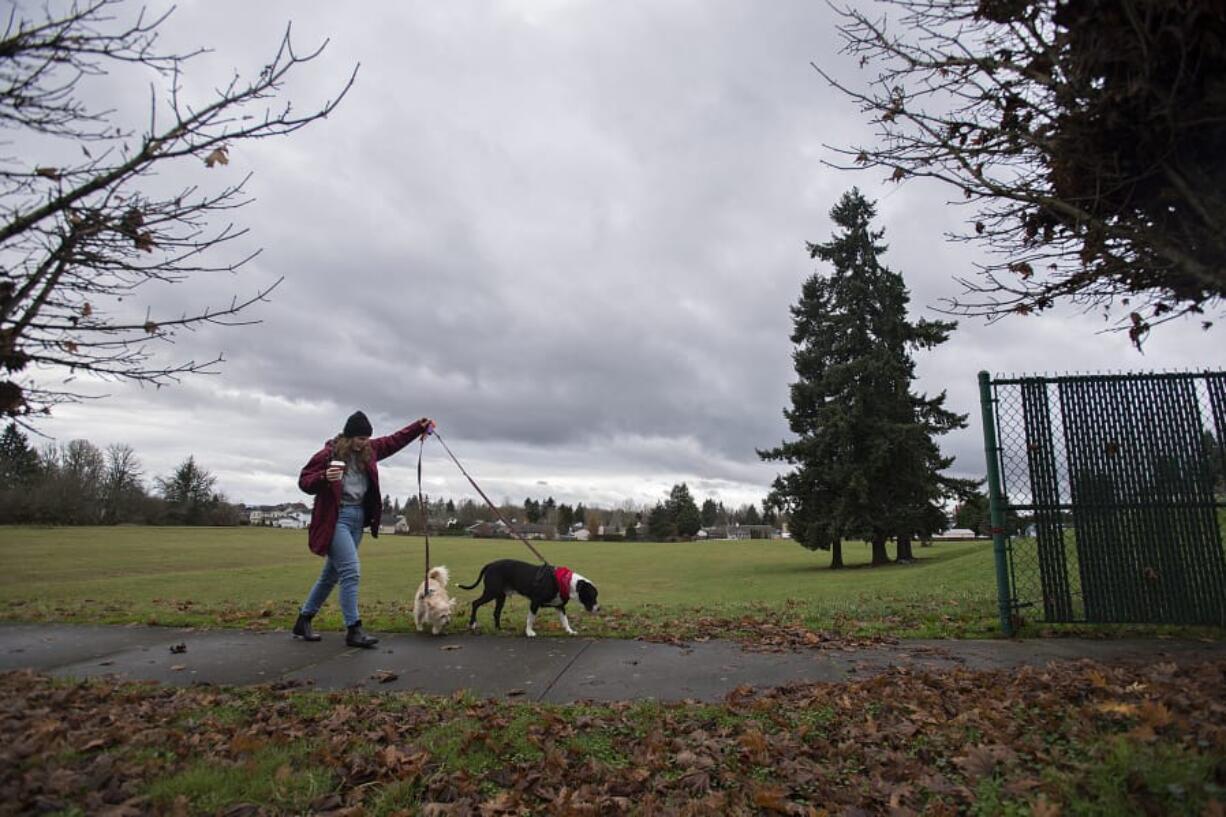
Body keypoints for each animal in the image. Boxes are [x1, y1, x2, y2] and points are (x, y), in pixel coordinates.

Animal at [460, 556, 598, 632]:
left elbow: (565, 620)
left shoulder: (559, 606)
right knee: (475, 603)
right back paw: (472, 624)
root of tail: (490, 565)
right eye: (592, 596)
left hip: (500, 596)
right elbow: (530, 619)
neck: (565, 582)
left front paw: (570, 631)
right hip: (491, 592)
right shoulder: (535, 602)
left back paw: (499, 629)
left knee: (496, 612)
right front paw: (529, 632)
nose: (598, 608)